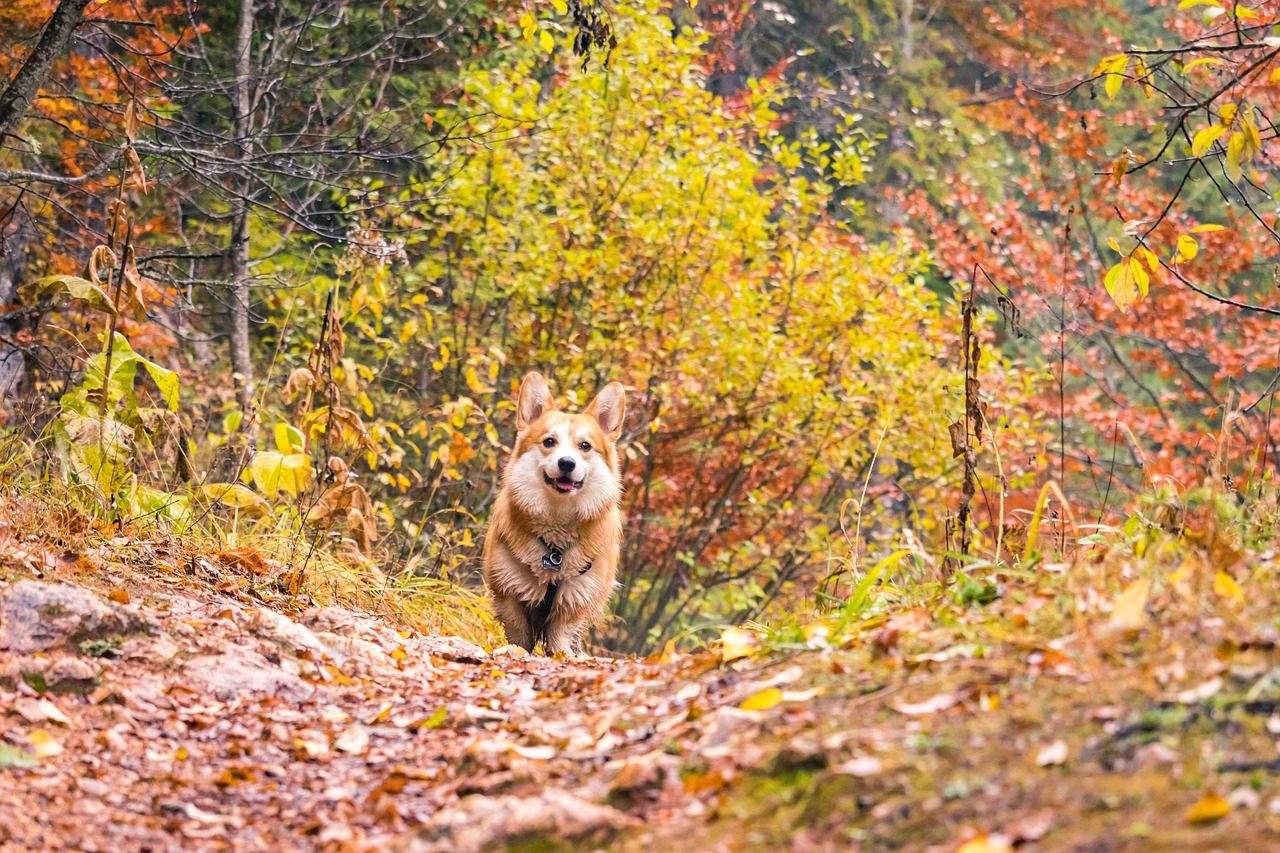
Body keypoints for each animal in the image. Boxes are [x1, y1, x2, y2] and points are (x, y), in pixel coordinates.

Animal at [481, 368, 624, 653]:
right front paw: (516, 651)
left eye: (585, 446)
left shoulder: (577, 597)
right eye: (549, 441)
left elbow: (561, 635)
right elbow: (519, 634)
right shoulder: (509, 589)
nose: (566, 463)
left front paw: (563, 656)